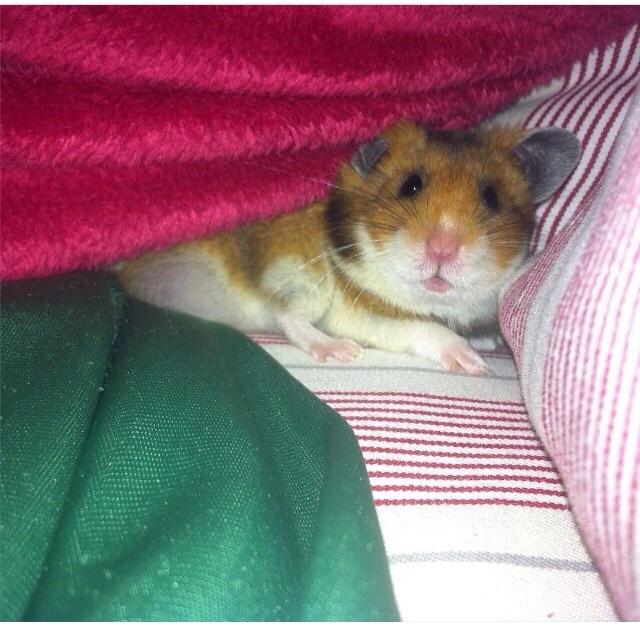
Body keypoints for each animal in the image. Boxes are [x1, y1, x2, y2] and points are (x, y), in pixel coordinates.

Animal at [117, 121, 580, 374]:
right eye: (411, 186)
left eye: (491, 197)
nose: (443, 249)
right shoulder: (361, 311)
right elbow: (425, 329)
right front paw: (475, 364)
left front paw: (487, 343)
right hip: (302, 276)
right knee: (289, 318)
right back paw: (339, 351)